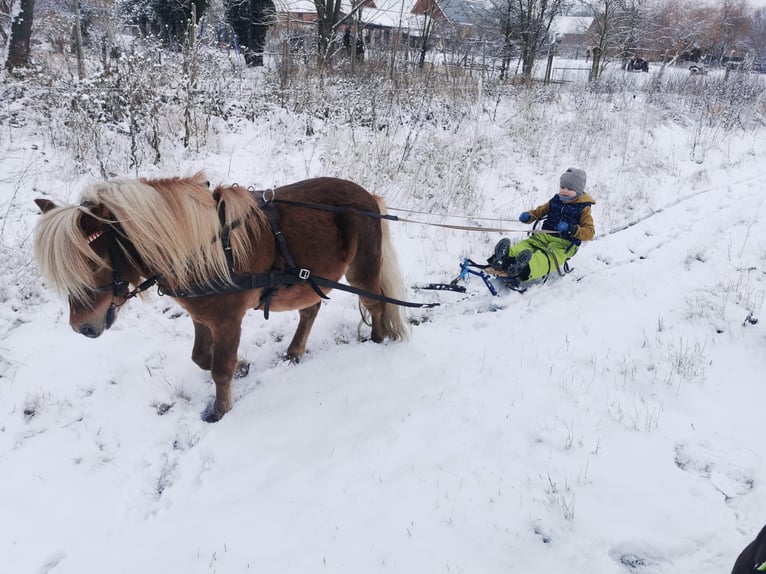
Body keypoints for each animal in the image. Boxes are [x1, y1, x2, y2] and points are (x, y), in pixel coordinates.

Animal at [33, 176, 412, 424]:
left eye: (93, 263)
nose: (82, 328)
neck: (202, 248)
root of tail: (367, 196)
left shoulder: (229, 320)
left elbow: (218, 367)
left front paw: (219, 410)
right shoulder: (202, 316)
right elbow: (202, 357)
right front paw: (243, 366)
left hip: (360, 272)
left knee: (377, 303)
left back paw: (377, 340)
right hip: (308, 280)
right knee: (311, 310)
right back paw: (294, 352)